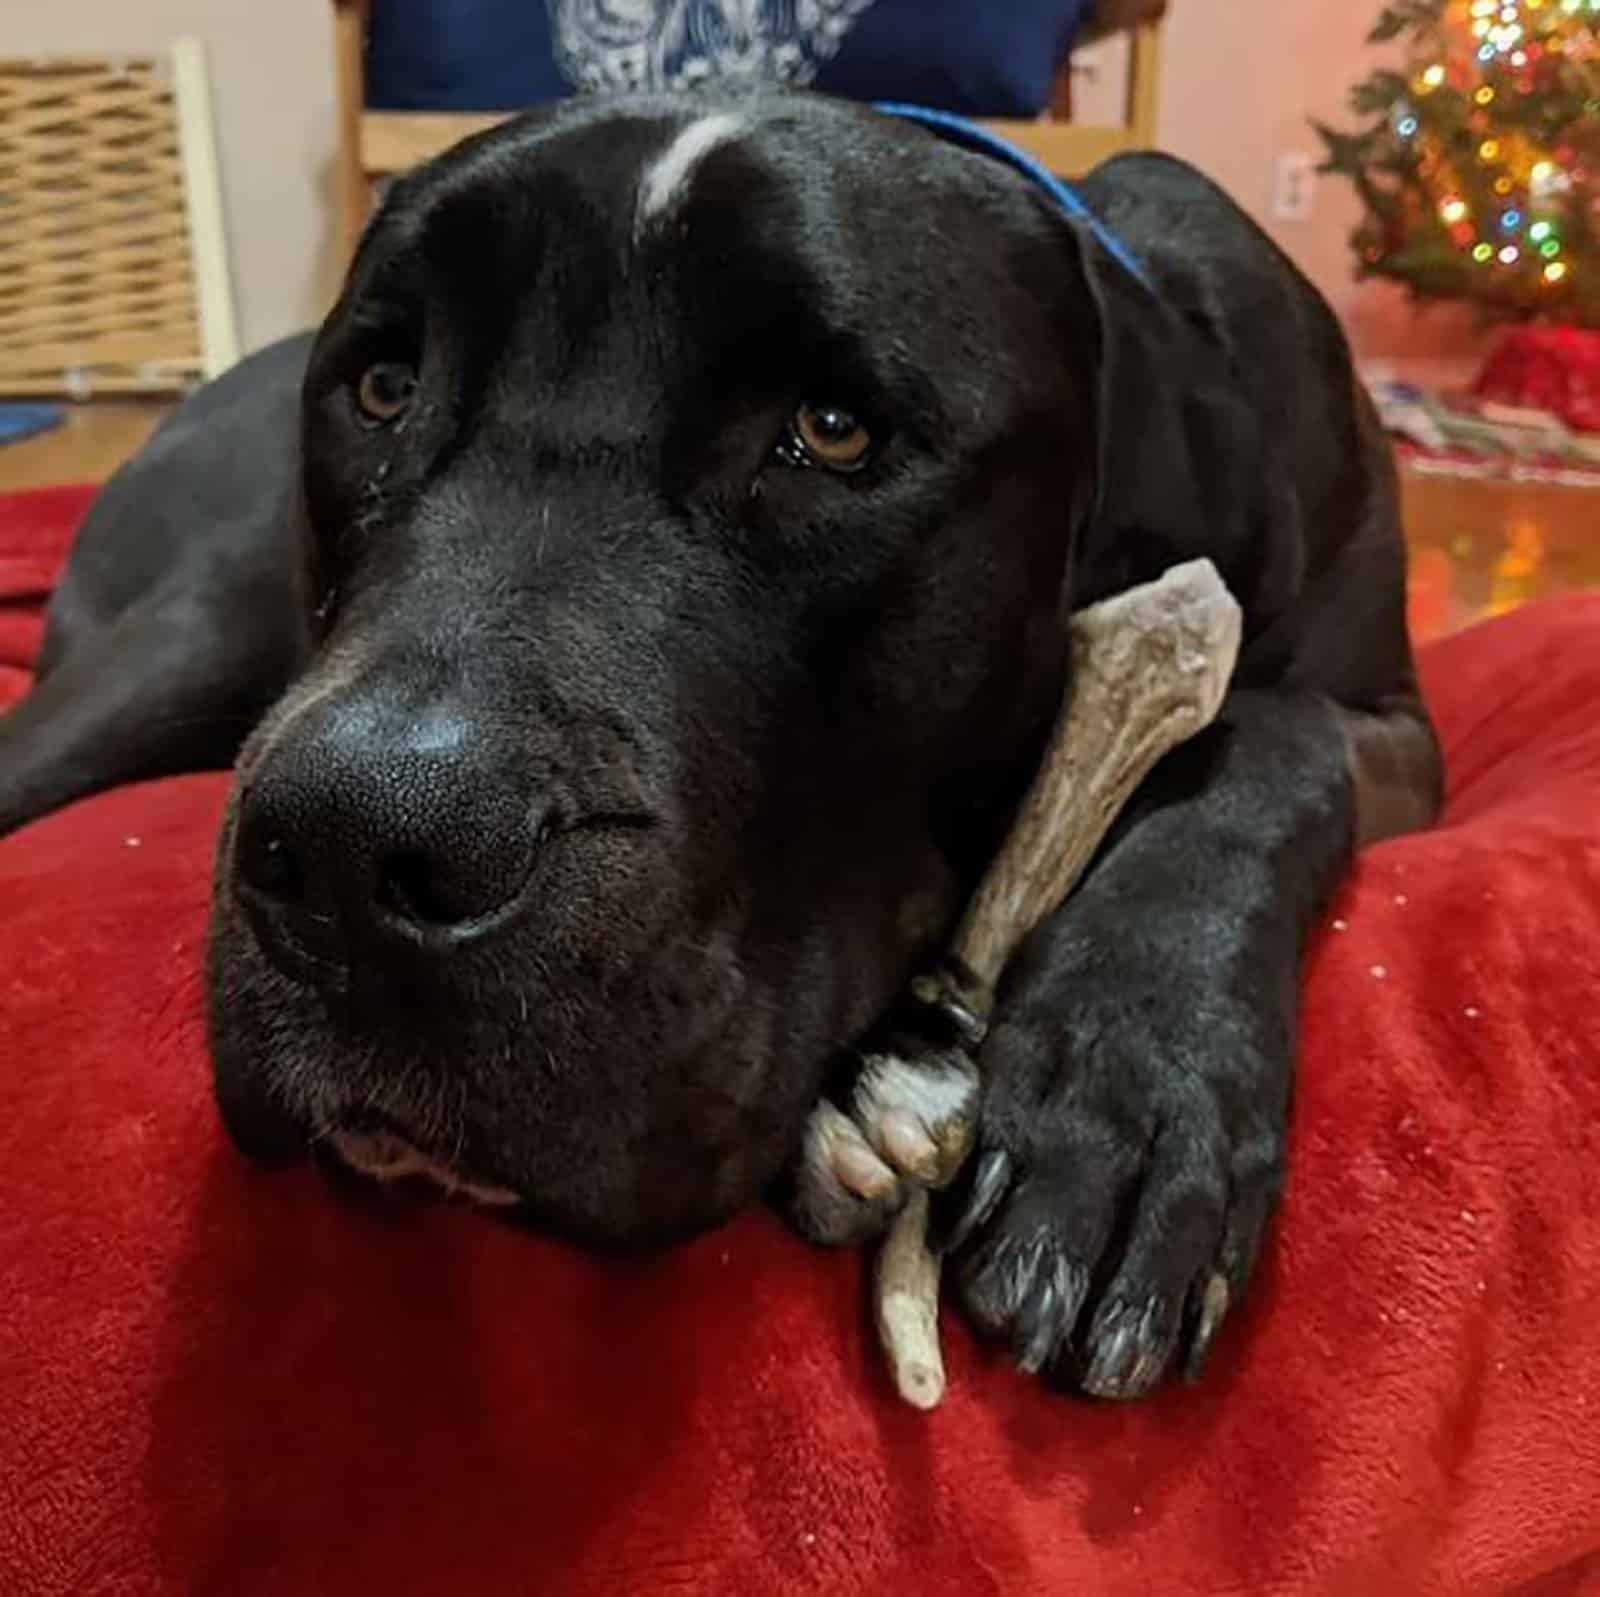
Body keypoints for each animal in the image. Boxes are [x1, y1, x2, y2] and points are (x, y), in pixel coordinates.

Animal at [0, 96, 1440, 1401]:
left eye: (836, 430)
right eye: (384, 386)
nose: (352, 854)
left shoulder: (1394, 723)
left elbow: (1265, 742)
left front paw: (1128, 1083)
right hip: (174, 650)